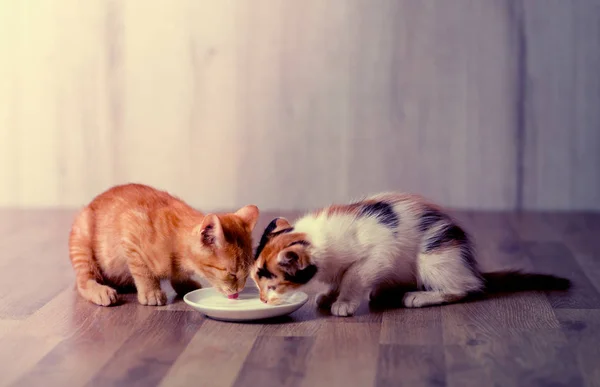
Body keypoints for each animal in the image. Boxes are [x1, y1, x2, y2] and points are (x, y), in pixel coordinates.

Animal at [68, 183, 260, 308]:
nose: (239, 290)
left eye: (246, 275)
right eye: (232, 274)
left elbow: (178, 276)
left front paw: (184, 284)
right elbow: (143, 271)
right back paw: (100, 291)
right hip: (82, 240)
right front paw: (150, 292)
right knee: (83, 280)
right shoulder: (130, 233)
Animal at [251, 192, 568, 316]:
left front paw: (344, 302)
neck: (316, 239)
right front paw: (329, 294)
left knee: (465, 288)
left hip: (433, 257)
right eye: (258, 284)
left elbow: (354, 276)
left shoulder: (379, 252)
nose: (264, 299)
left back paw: (419, 296)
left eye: (272, 286)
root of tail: (470, 266)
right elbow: (339, 277)